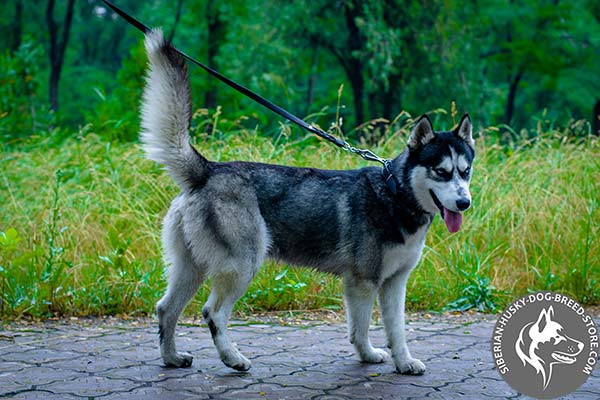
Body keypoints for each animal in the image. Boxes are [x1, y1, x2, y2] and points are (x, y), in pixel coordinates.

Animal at [143, 28, 476, 376]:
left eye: (465, 171)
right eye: (441, 171)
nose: (464, 202)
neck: (395, 194)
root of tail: (208, 169)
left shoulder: (394, 284)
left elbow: (394, 330)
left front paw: (400, 361)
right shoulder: (363, 282)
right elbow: (362, 327)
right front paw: (369, 355)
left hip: (191, 269)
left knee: (166, 309)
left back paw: (172, 358)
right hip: (242, 266)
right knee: (213, 313)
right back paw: (233, 358)